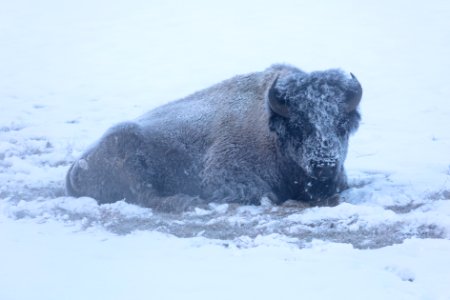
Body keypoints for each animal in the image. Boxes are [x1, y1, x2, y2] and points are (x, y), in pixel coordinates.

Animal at [67, 64, 362, 212]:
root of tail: (75, 169)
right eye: (299, 125)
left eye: (342, 123)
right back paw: (189, 203)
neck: (272, 134)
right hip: (129, 157)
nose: (324, 164)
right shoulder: (224, 178)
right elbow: (265, 195)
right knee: (148, 197)